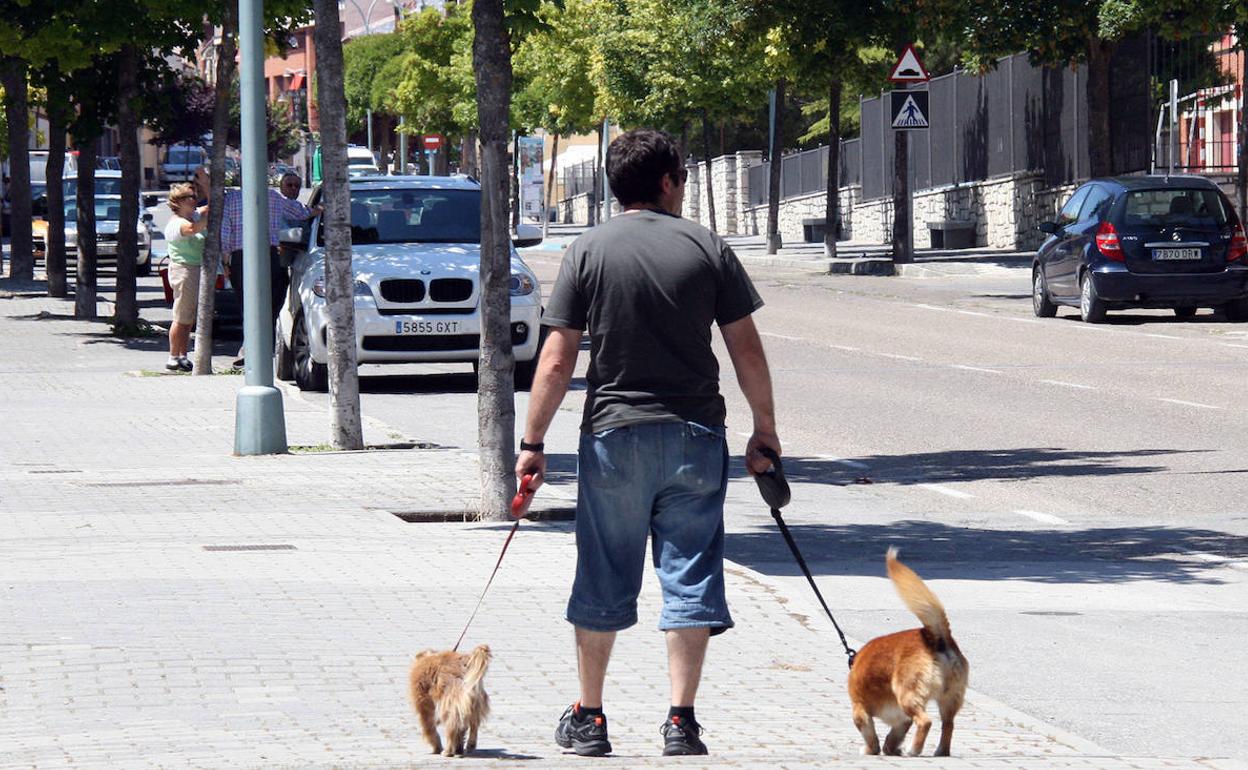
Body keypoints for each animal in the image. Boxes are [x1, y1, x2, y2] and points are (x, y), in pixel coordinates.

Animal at [848, 546, 963, 758]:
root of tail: (936, 638)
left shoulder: (860, 710)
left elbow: (871, 737)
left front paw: (871, 750)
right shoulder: (902, 720)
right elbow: (893, 735)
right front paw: (891, 748)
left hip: (907, 695)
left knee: (925, 721)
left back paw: (914, 750)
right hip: (949, 699)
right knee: (948, 725)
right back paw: (940, 751)